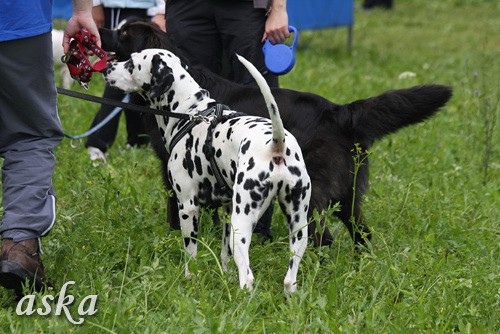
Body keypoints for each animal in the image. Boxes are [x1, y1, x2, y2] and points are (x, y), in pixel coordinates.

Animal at [97, 21, 454, 248]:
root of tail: (339, 111)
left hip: (312, 194)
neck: (183, 97)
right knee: (362, 234)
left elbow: (177, 212)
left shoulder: (176, 171)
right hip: (349, 195)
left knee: (323, 238)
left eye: (124, 33)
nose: (97, 30)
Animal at [104, 49, 310, 292]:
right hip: (297, 227)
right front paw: (226, 276)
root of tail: (276, 144)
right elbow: (225, 254)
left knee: (248, 277)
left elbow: (190, 253)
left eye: (131, 63)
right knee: (289, 279)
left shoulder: (187, 207)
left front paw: (189, 278)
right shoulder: (226, 210)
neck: (189, 111)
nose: (107, 67)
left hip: (242, 225)